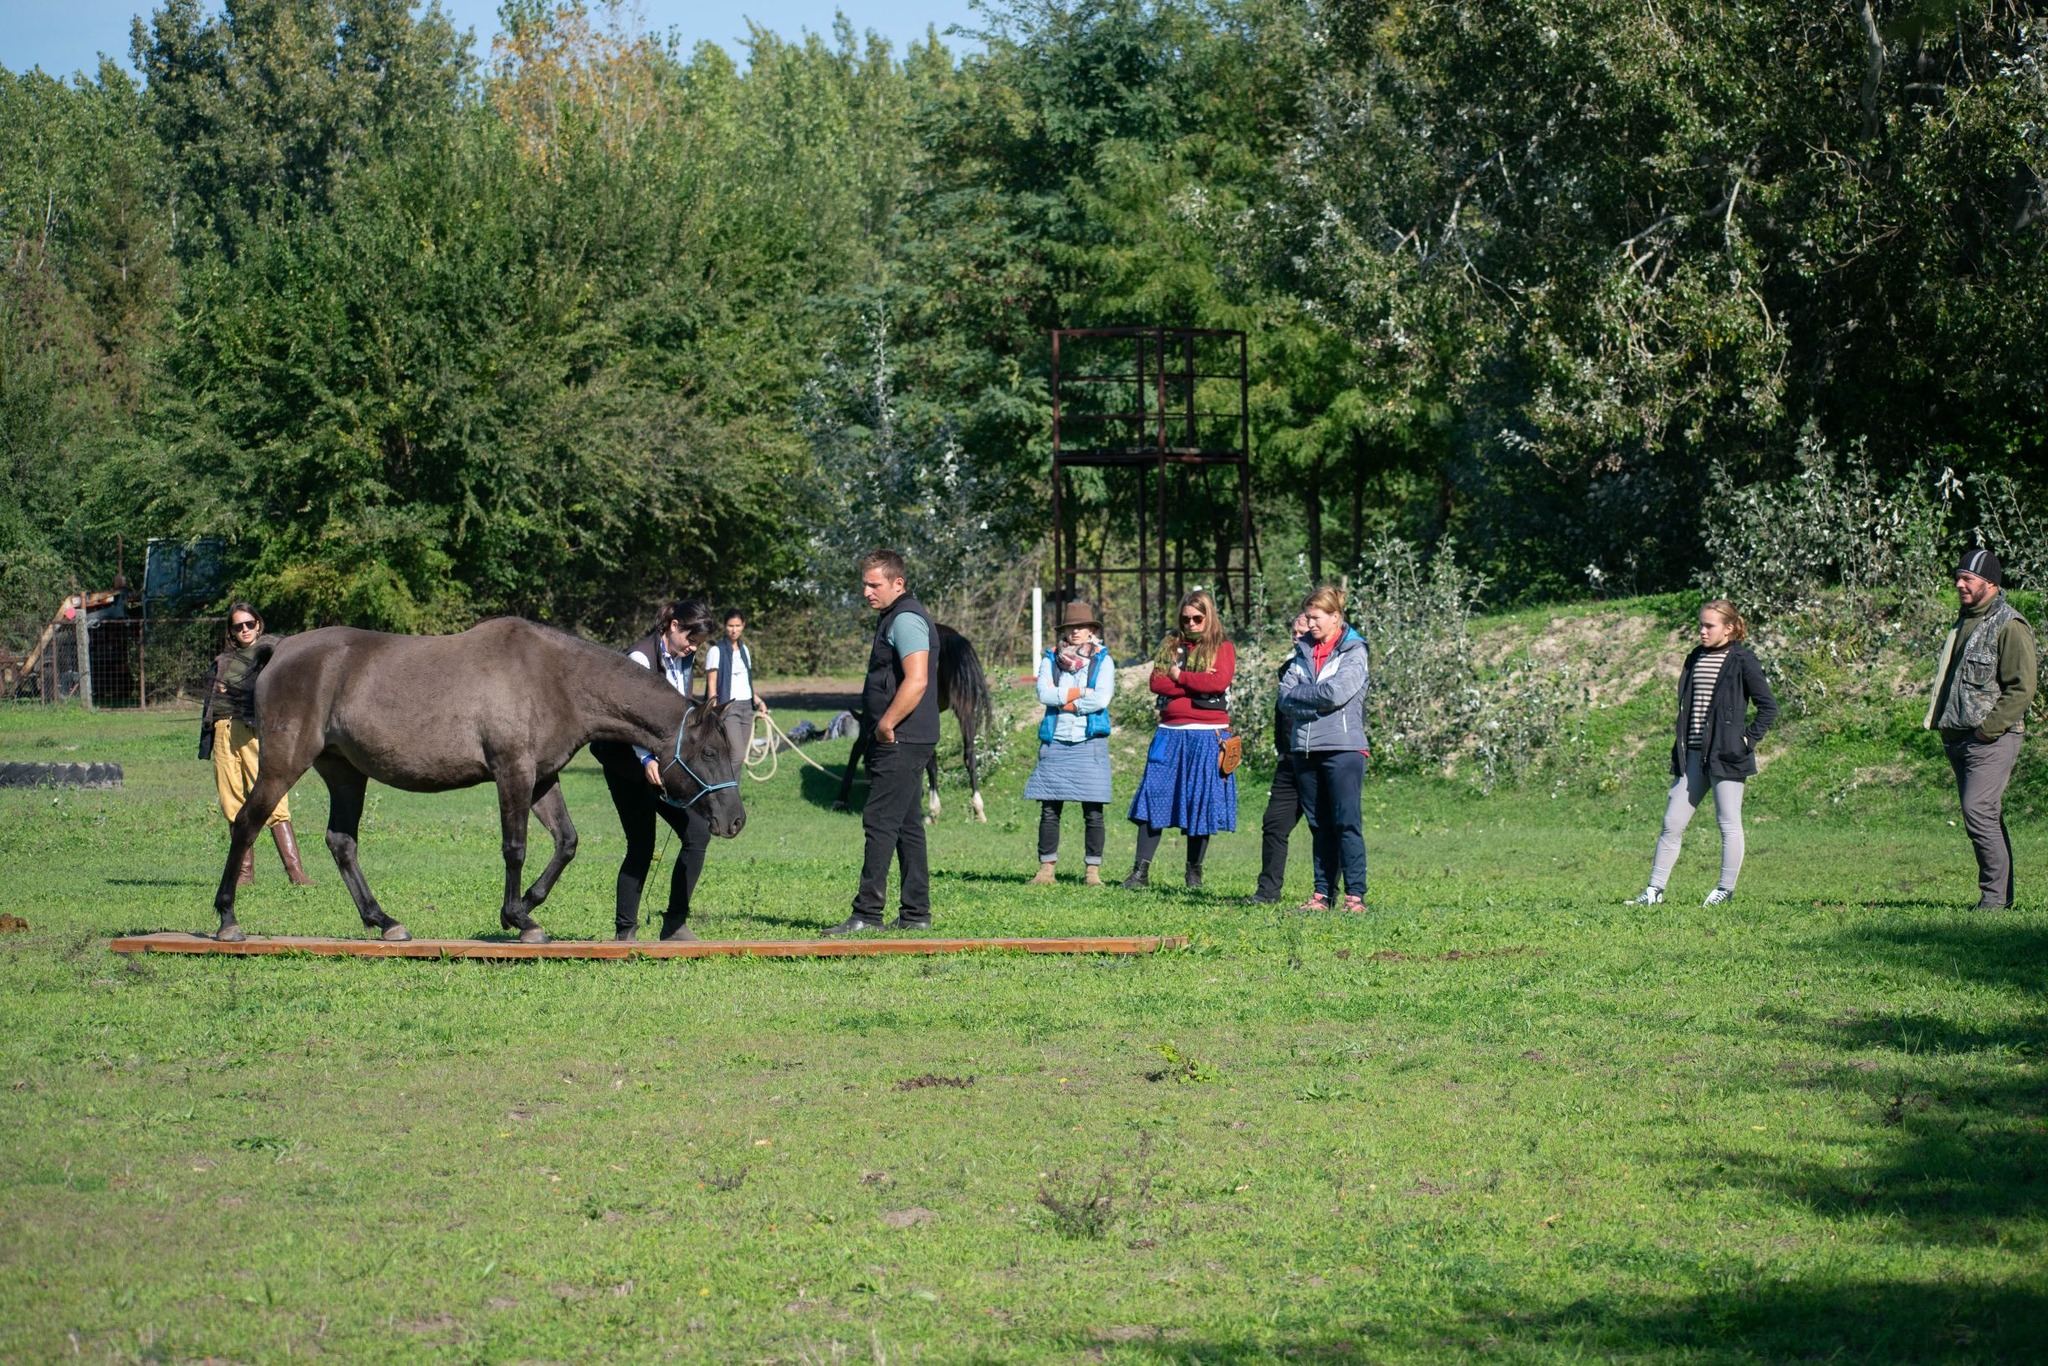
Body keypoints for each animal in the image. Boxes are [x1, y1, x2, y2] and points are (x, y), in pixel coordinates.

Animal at [214, 618, 745, 946]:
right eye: (710, 753)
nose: (736, 821)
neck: (555, 679)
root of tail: (281, 649)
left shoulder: (541, 777)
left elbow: (566, 842)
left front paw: (526, 908)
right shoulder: (513, 772)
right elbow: (515, 847)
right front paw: (518, 918)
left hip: (344, 772)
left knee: (341, 842)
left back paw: (385, 922)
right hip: (284, 763)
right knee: (246, 824)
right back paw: (227, 919)